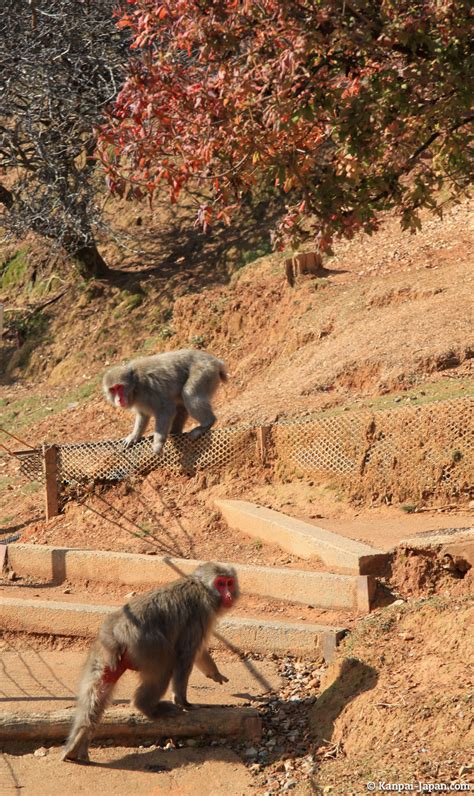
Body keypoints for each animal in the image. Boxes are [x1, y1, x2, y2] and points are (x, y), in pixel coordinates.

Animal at [62, 564, 241, 760]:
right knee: (165, 666)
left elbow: (199, 652)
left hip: (102, 651)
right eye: (220, 583)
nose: (229, 595)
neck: (201, 587)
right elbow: (187, 653)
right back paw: (146, 707)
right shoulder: (201, 613)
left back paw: (77, 740)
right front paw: (183, 702)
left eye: (229, 583)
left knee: (99, 687)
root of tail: (115, 632)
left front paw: (215, 673)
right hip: (146, 645)